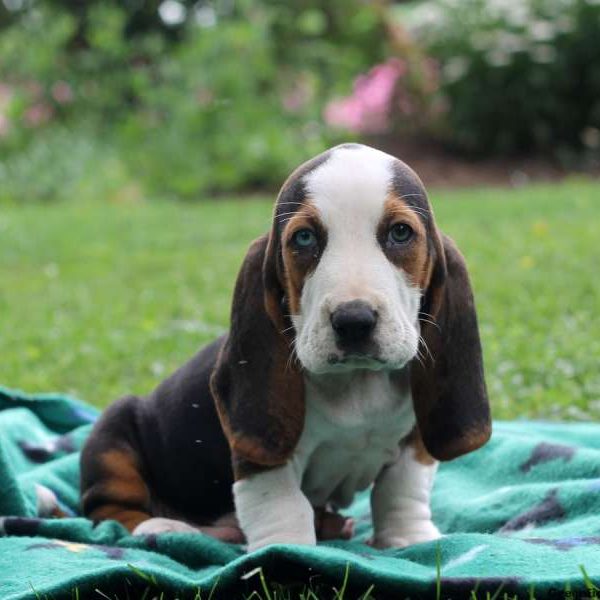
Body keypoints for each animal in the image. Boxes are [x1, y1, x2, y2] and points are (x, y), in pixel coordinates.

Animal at [81, 143, 492, 552]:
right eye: (304, 238)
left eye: (401, 232)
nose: (353, 320)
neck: (357, 384)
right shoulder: (264, 450)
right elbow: (281, 502)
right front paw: (285, 549)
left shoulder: (412, 443)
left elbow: (401, 489)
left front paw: (409, 539)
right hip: (113, 433)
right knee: (111, 510)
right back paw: (167, 528)